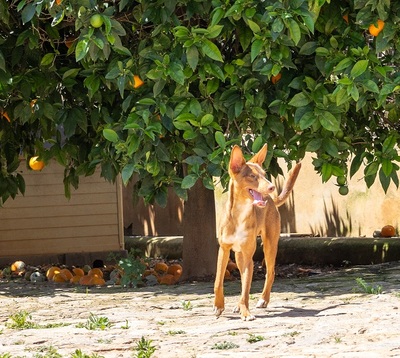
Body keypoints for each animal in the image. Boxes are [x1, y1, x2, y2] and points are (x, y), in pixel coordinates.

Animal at [212, 144, 300, 320]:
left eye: (265, 175)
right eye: (252, 176)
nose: (272, 187)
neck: (239, 214)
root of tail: (271, 199)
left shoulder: (248, 256)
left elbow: (246, 288)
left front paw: (245, 312)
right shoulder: (224, 250)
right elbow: (218, 281)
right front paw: (219, 306)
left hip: (269, 245)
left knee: (270, 272)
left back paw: (263, 300)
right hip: (239, 255)